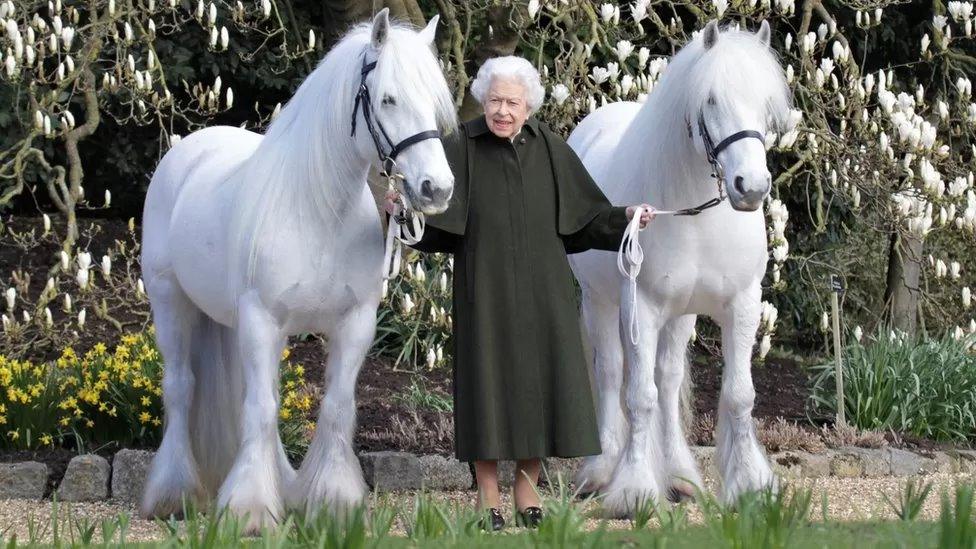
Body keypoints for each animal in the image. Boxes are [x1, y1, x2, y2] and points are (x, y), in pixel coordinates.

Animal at [140, 9, 458, 532]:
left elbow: (334, 407)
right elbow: (261, 410)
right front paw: (249, 510)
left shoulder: (354, 324)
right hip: (172, 303)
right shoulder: (261, 320)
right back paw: (174, 494)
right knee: (182, 388)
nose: (437, 189)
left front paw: (333, 502)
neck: (317, 212)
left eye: (434, 103)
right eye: (388, 98)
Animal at [568, 20, 788, 512]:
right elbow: (638, 396)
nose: (751, 186)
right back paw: (600, 470)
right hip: (599, 303)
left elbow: (738, 394)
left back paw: (680, 476)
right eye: (711, 100)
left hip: (681, 315)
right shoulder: (642, 309)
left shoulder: (742, 305)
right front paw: (633, 489)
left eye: (765, 103)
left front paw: (749, 484)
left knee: (667, 382)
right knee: (611, 373)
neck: (696, 215)